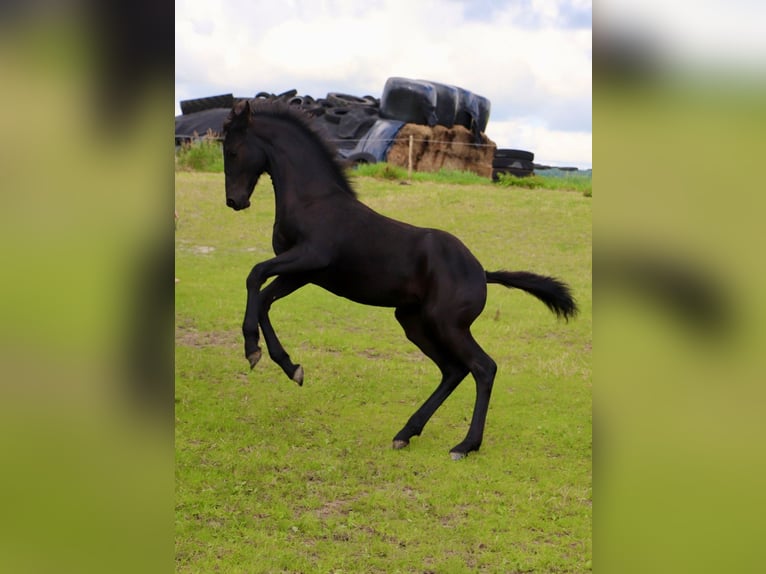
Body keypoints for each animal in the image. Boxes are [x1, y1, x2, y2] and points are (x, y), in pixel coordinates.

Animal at [220, 98, 576, 460]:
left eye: (232, 151)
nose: (234, 201)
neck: (313, 201)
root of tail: (482, 273)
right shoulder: (302, 274)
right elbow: (264, 297)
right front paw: (289, 366)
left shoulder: (309, 257)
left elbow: (254, 275)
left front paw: (252, 348)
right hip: (414, 322)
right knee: (453, 370)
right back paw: (406, 432)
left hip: (447, 324)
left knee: (483, 367)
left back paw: (465, 445)